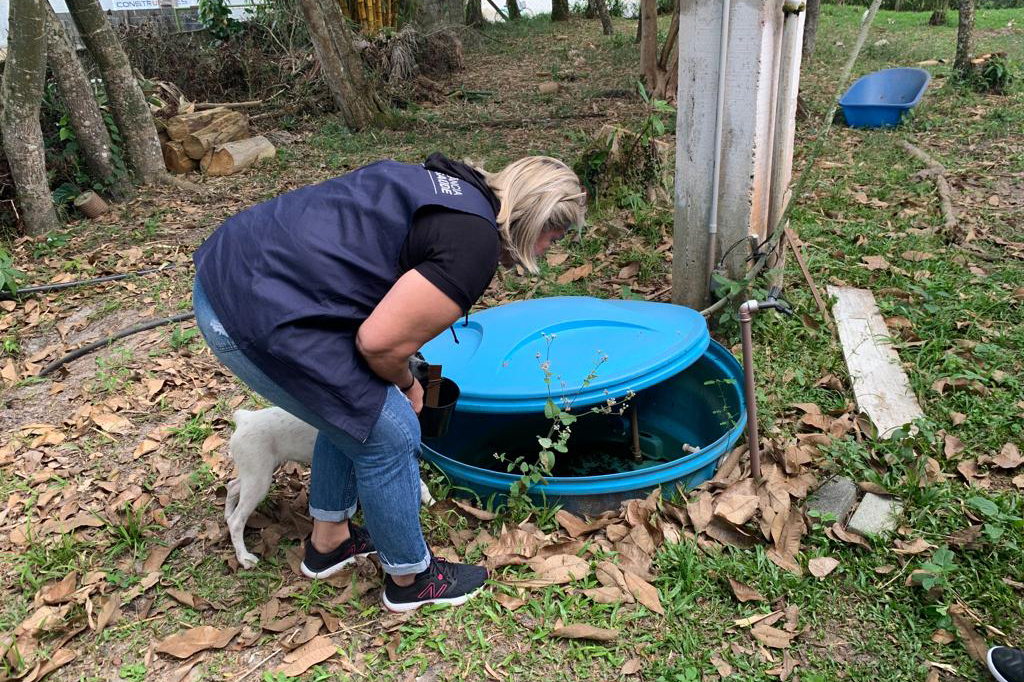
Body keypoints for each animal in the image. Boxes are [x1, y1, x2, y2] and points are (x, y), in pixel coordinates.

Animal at [222, 403, 434, 569]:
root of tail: (244, 418)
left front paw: (429, 501)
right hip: (259, 480)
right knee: (237, 520)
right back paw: (244, 557)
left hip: (257, 473)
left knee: (232, 486)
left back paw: (227, 514)